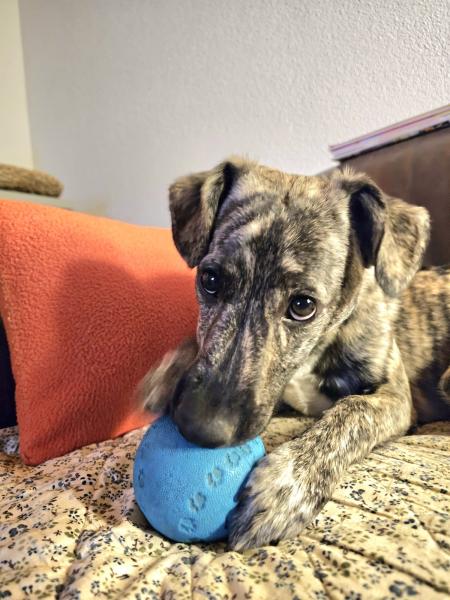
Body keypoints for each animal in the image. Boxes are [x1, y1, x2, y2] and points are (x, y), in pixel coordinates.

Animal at [138, 157, 450, 551]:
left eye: (303, 305)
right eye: (209, 280)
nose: (201, 429)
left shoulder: (395, 398)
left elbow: (352, 411)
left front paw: (287, 485)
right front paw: (168, 373)